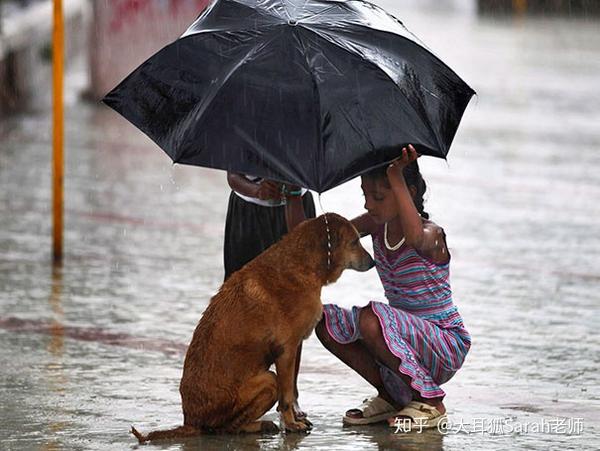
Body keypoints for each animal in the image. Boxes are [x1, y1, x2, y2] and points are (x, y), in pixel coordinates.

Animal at [134, 214, 372, 444]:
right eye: (354, 242)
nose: (372, 262)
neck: (301, 264)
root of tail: (190, 421)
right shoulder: (287, 351)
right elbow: (287, 397)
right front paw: (291, 424)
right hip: (268, 381)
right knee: (225, 428)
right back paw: (258, 425)